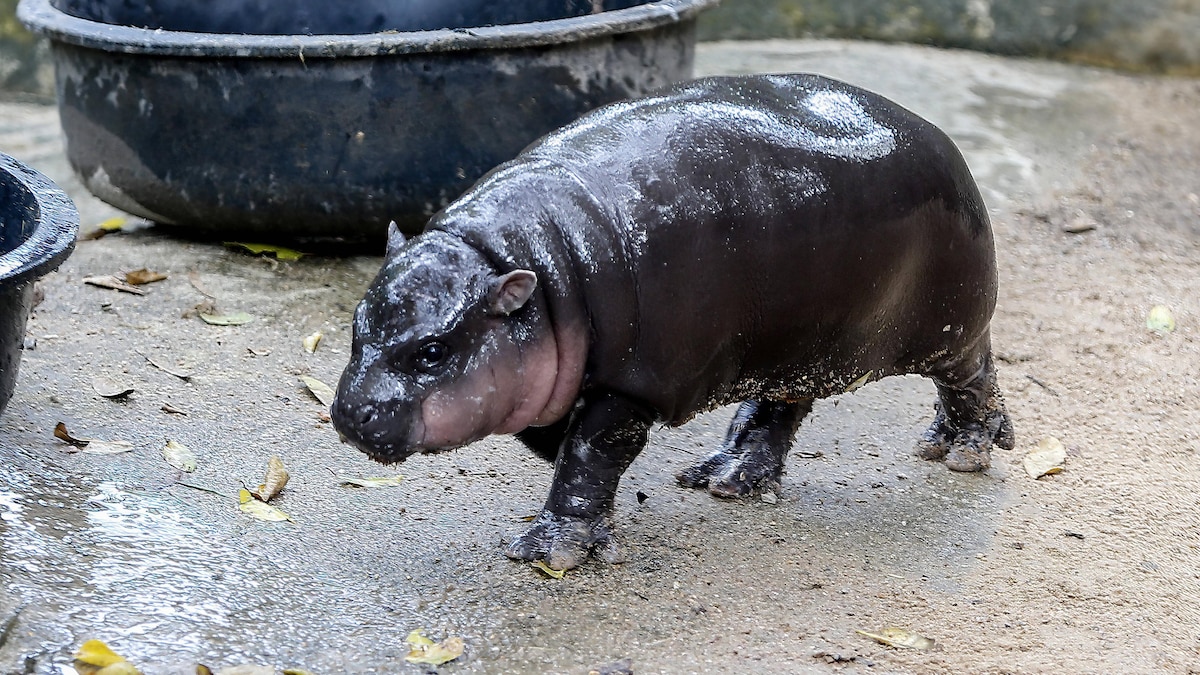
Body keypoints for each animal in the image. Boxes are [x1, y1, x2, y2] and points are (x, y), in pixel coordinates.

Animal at [331, 73, 1012, 566]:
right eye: (358, 322)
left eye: (433, 352)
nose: (347, 411)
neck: (533, 268)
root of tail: (943, 140)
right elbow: (558, 444)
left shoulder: (631, 383)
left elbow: (591, 451)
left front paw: (549, 553)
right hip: (795, 343)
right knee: (779, 406)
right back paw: (726, 478)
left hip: (948, 328)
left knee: (972, 376)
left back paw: (961, 450)